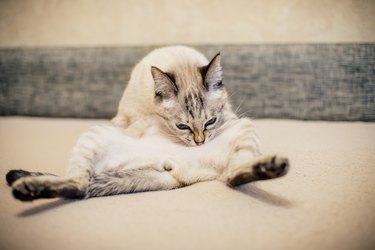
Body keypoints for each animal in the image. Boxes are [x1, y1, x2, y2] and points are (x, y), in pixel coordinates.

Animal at [5, 46, 290, 200]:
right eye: (182, 127)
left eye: (210, 121)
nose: (200, 142)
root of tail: (172, 169)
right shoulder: (126, 117)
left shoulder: (231, 118)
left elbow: (228, 116)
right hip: (95, 135)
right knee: (78, 185)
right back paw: (27, 188)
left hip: (245, 130)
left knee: (232, 177)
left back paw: (272, 166)